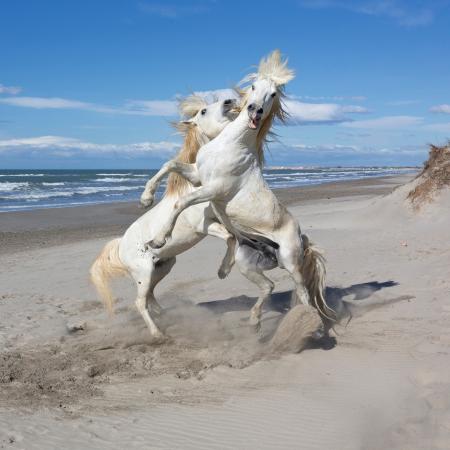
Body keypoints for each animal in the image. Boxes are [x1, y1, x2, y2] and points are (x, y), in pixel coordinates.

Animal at [142, 50, 336, 324]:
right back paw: (252, 318)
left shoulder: (214, 189)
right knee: (268, 286)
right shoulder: (198, 176)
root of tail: (301, 235)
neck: (231, 144)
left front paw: (158, 240)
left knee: (303, 293)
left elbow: (181, 202)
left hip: (291, 263)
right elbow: (169, 165)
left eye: (273, 93)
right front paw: (146, 198)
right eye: (253, 86)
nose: (254, 110)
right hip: (247, 263)